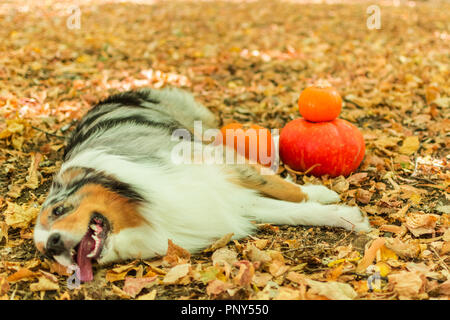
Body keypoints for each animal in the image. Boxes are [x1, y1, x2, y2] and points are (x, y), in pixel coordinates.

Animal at [33, 87, 370, 280]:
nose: (53, 244)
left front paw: (322, 193)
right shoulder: (219, 200)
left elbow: (282, 188)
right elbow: (291, 211)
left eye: (59, 210)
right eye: (47, 254)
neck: (142, 210)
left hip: (201, 129)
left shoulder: (211, 163)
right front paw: (346, 217)